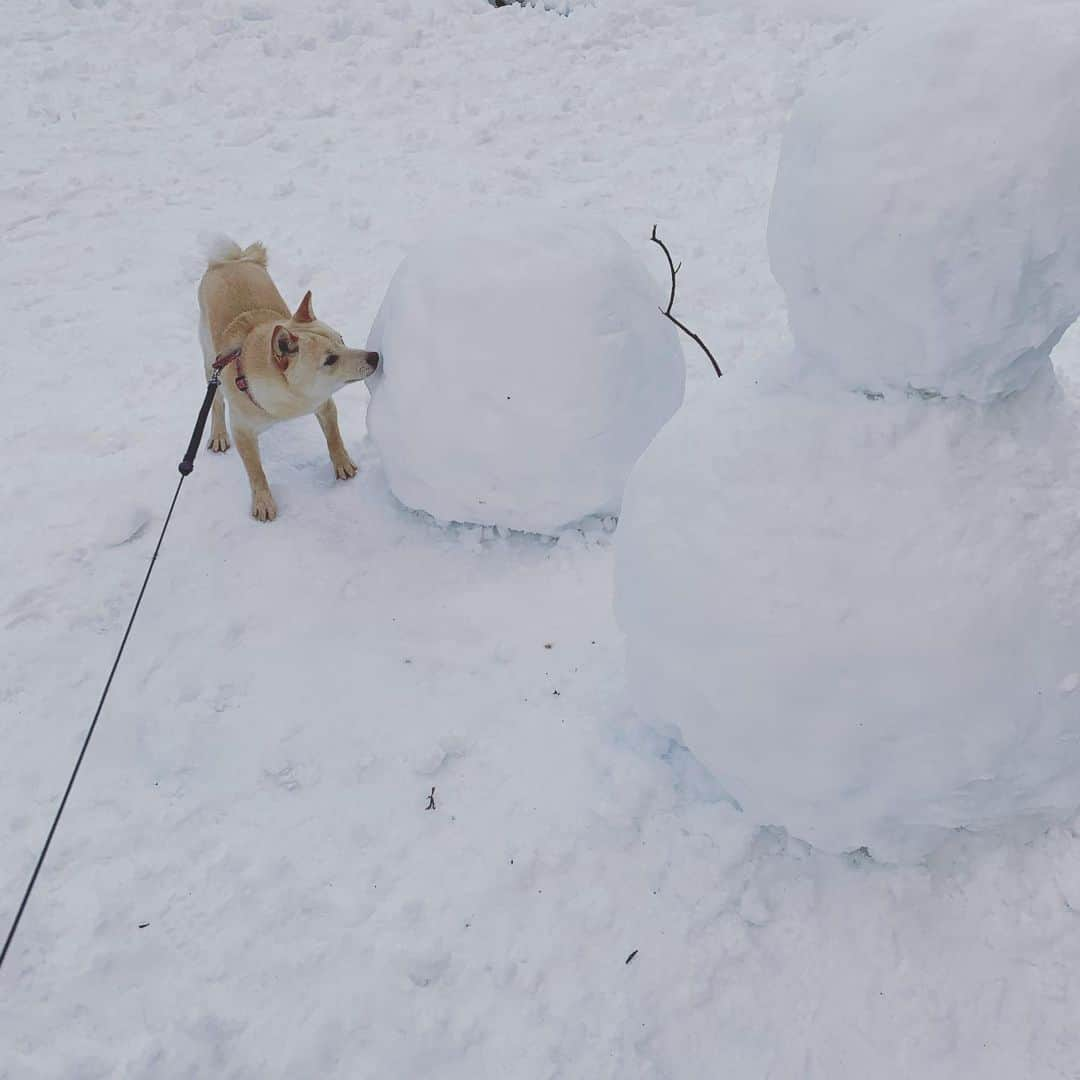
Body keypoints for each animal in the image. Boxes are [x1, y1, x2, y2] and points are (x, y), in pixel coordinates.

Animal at [198, 240, 380, 518]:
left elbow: (334, 437)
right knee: (216, 400)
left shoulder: (323, 403)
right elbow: (255, 470)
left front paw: (342, 464)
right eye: (330, 360)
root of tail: (232, 261)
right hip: (210, 363)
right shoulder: (242, 431)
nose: (375, 357)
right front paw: (263, 500)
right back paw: (218, 434)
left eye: (342, 340)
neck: (290, 399)